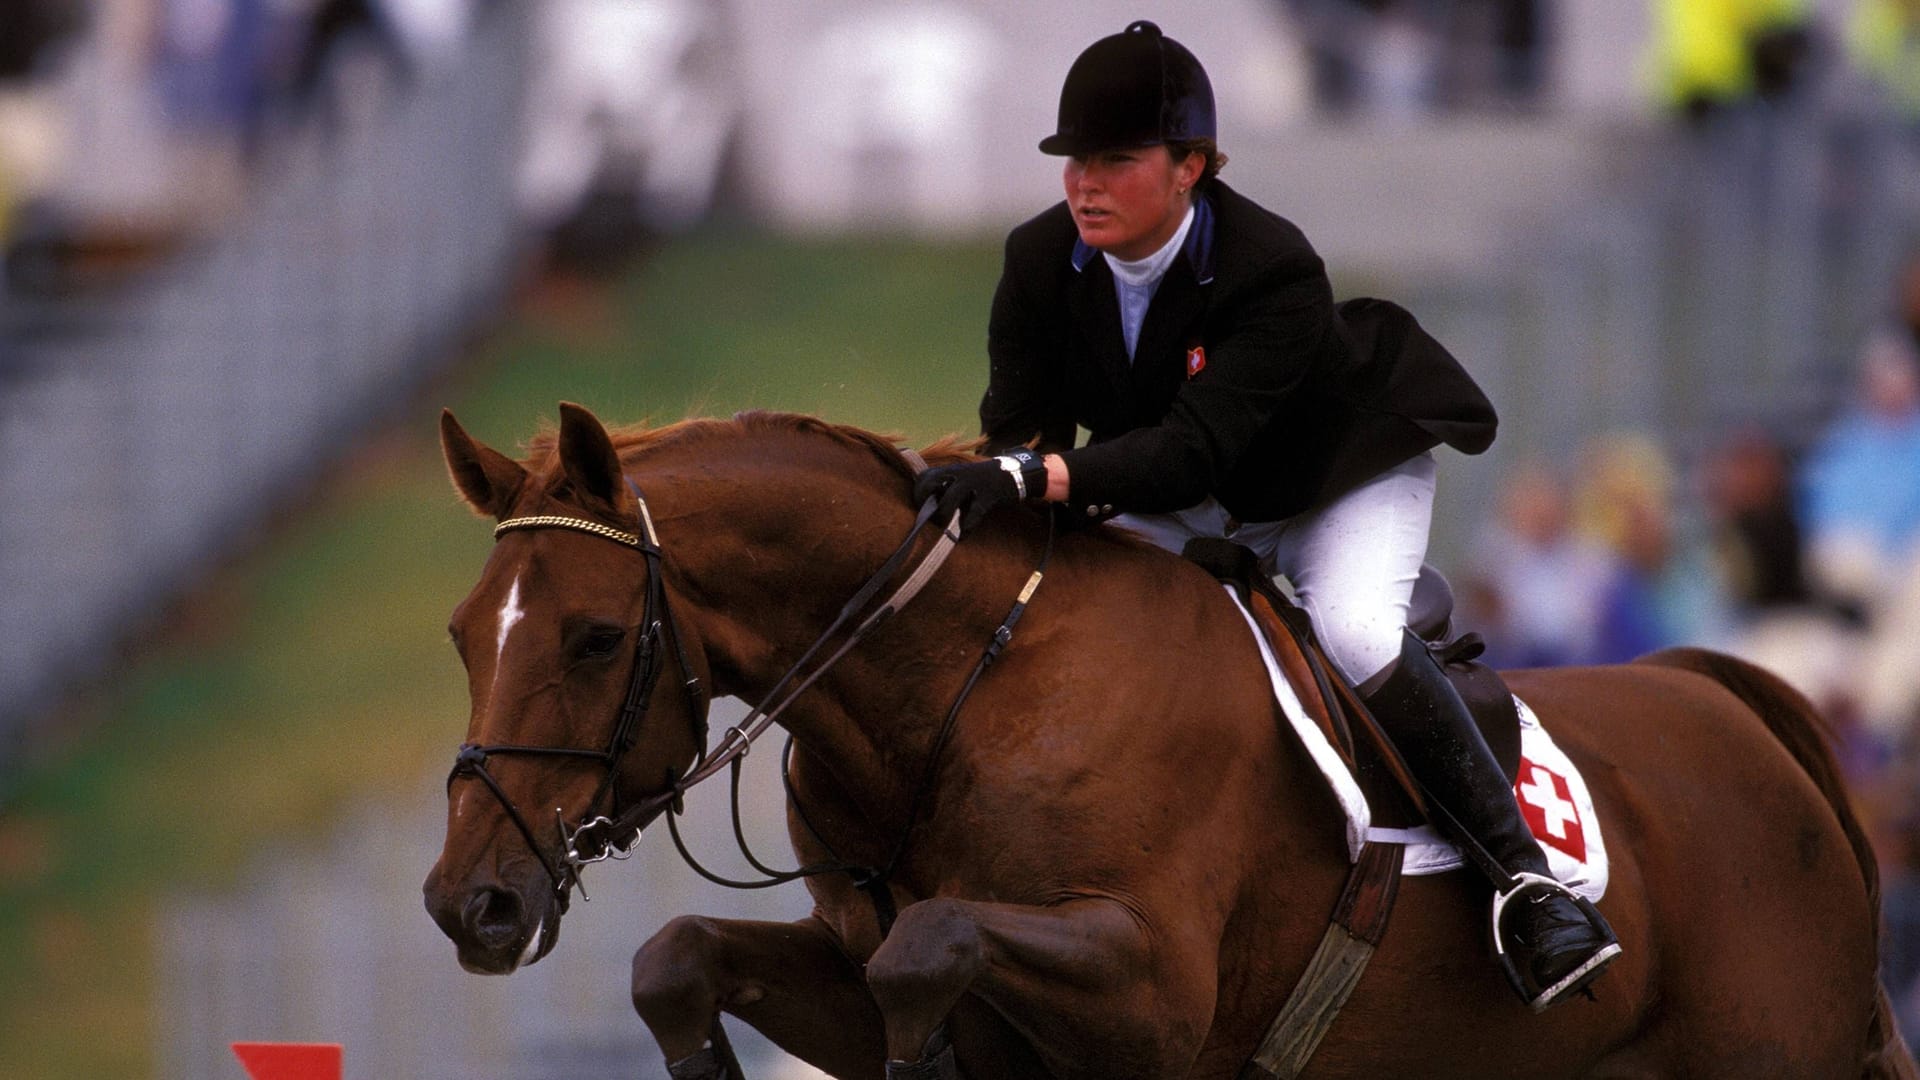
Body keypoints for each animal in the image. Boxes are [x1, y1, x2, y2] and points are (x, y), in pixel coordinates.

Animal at [428, 403, 1912, 1076]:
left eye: (592, 640)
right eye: (461, 637)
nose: (468, 907)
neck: (954, 697)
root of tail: (1733, 699)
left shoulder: (1151, 994)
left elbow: (931, 942)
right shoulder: (858, 975)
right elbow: (678, 956)